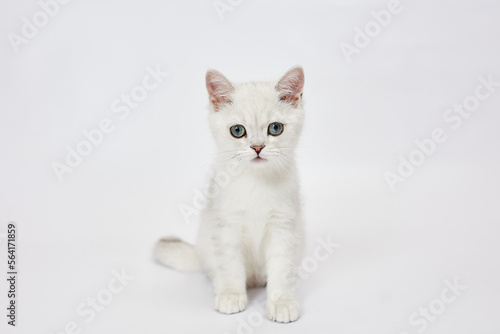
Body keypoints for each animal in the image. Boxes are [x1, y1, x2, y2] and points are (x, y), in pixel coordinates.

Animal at [154, 66, 306, 324]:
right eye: (238, 131)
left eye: (275, 128)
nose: (257, 147)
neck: (256, 180)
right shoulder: (225, 227)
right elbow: (230, 267)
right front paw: (231, 296)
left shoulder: (283, 227)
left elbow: (281, 270)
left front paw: (282, 302)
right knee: (215, 270)